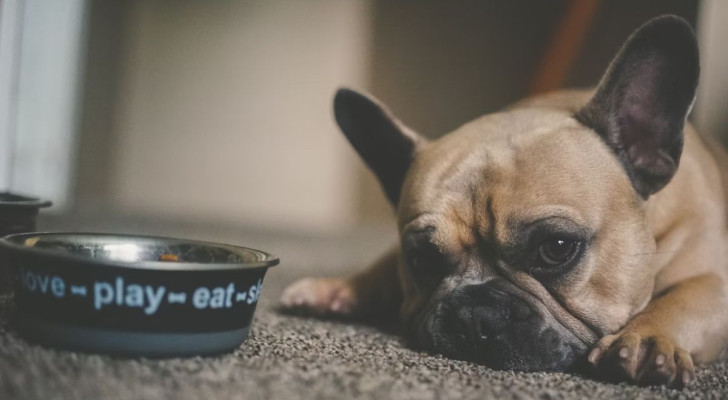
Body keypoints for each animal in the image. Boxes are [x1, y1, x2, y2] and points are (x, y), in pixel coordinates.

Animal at [278, 16, 728, 388]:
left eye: (557, 248)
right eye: (421, 258)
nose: (475, 314)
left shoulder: (716, 281)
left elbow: (686, 299)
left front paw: (647, 338)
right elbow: (384, 264)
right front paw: (338, 287)